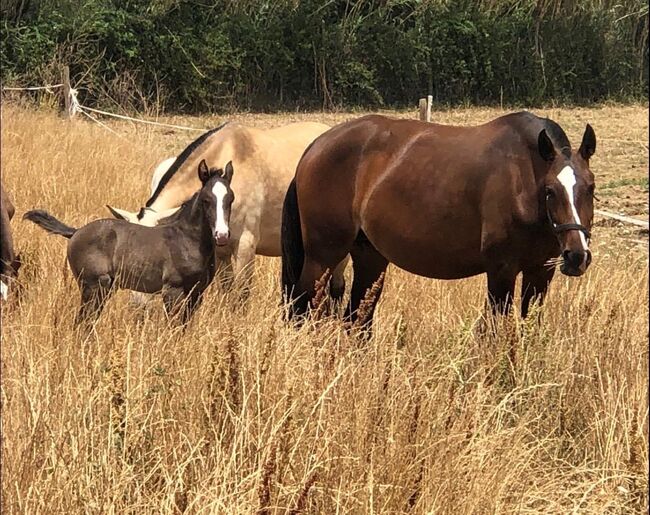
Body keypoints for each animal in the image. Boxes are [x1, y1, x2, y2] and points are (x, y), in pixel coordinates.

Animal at [24, 160, 235, 330]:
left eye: (230, 199)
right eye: (206, 199)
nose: (222, 235)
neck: (187, 240)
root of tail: (75, 232)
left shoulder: (197, 293)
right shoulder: (173, 290)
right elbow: (173, 328)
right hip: (94, 286)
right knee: (83, 323)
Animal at [105, 122, 350, 298]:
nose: (137, 304)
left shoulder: (245, 246)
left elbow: (241, 296)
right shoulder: (221, 251)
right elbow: (227, 291)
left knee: (337, 286)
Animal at [280, 112, 596, 330]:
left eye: (590, 187)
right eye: (550, 190)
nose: (576, 256)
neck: (523, 174)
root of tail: (315, 146)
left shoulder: (540, 272)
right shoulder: (501, 271)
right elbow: (497, 333)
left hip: (370, 257)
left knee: (357, 320)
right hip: (322, 257)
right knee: (303, 309)